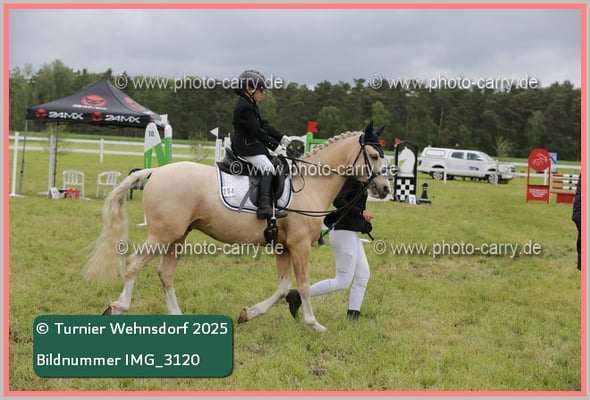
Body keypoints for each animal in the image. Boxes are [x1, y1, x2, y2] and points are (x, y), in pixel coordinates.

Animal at [84, 126, 390, 332]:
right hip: (162, 235)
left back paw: (178, 317)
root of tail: (156, 172)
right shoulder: (300, 246)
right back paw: (118, 307)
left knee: (165, 273)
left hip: (177, 237)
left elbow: (283, 287)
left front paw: (248, 314)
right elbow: (303, 285)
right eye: (373, 156)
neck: (310, 184)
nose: (385, 188)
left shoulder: (283, 247)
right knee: (134, 264)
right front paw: (313, 324)